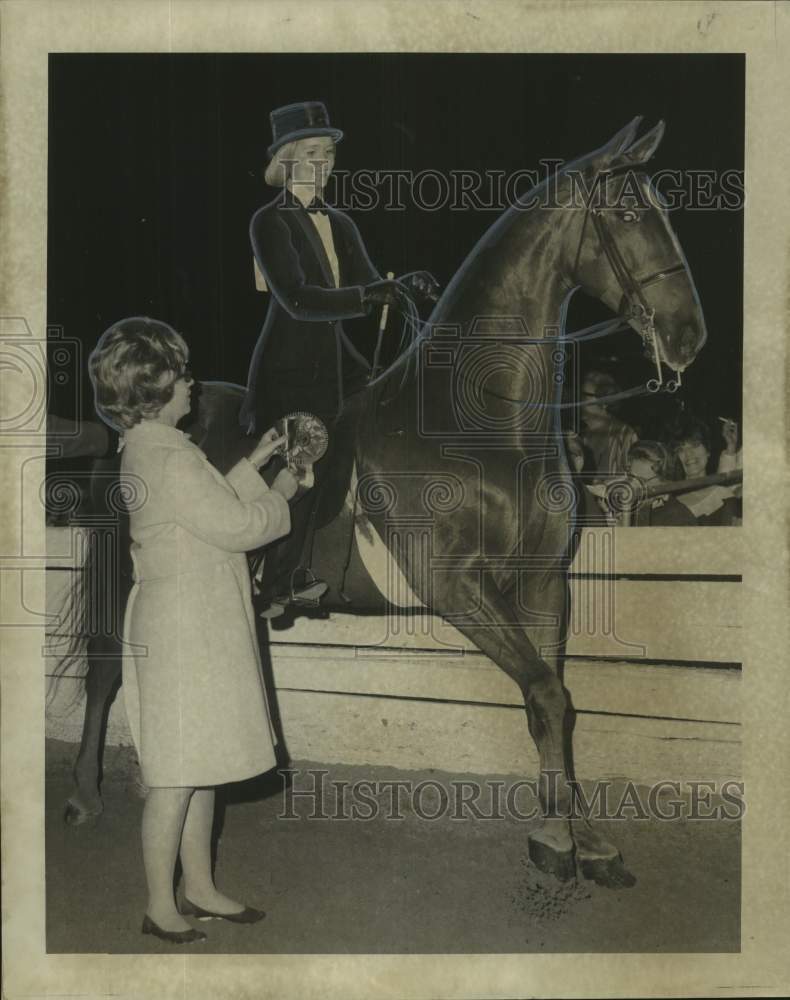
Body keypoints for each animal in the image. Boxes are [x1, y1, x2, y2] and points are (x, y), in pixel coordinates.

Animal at [58, 119, 708, 892]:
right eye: (632, 213)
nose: (688, 335)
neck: (480, 419)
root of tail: (128, 426)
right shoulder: (453, 586)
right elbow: (546, 694)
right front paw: (556, 842)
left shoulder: (544, 582)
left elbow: (552, 701)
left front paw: (584, 839)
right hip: (125, 571)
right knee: (105, 668)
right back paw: (87, 795)